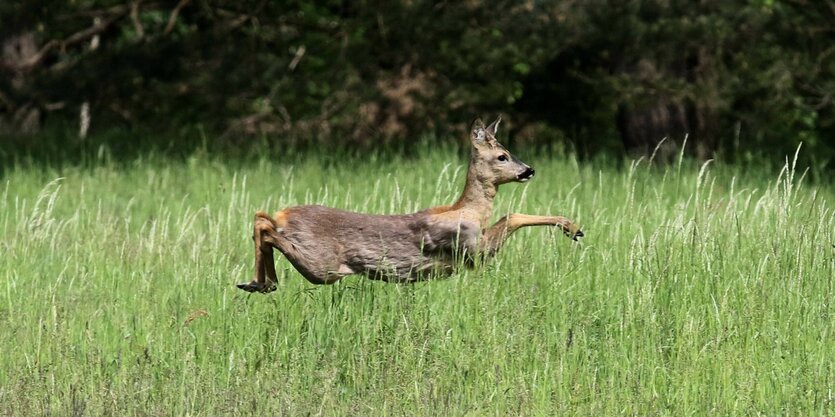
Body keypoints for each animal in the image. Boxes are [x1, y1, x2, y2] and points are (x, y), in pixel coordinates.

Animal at [238, 116, 584, 292]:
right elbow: (511, 216)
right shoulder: (472, 249)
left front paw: (572, 227)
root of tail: (286, 213)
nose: (529, 170)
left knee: (262, 219)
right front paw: (573, 228)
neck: (469, 211)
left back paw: (259, 283)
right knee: (264, 223)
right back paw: (260, 282)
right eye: (502, 156)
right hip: (321, 264)